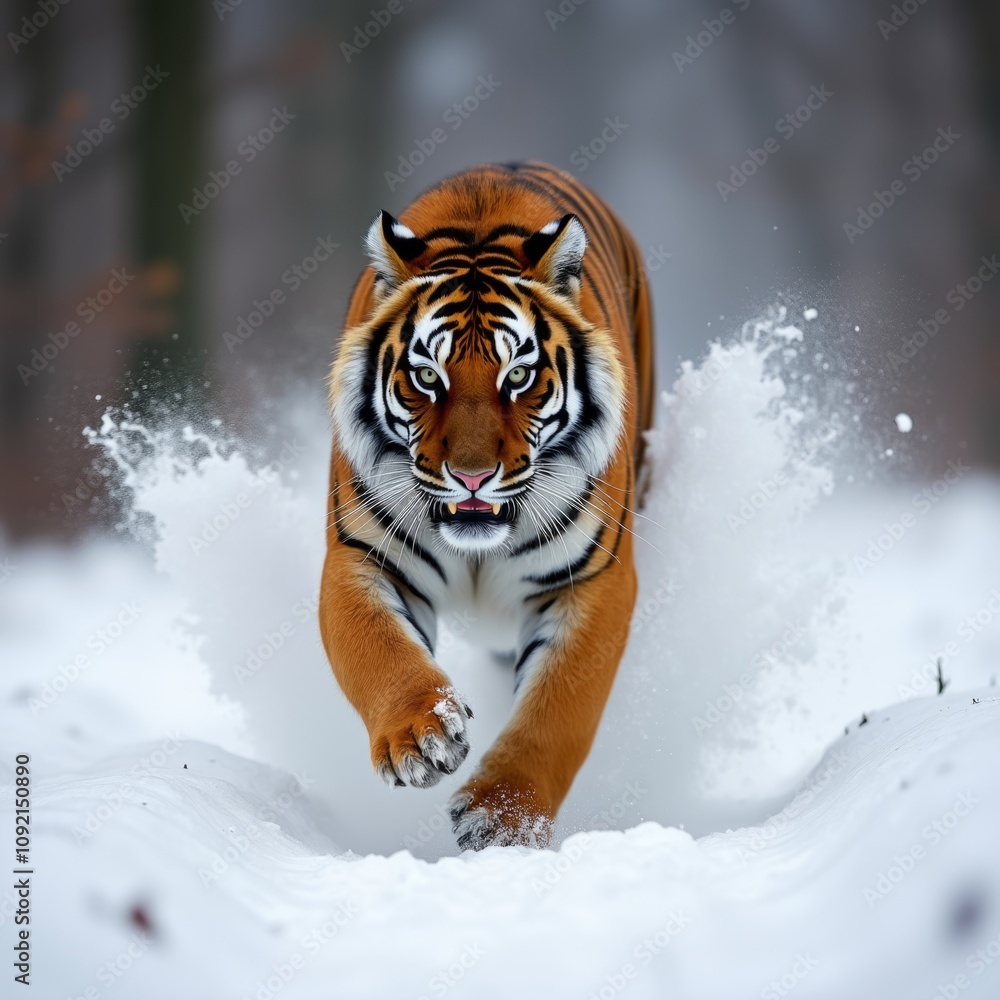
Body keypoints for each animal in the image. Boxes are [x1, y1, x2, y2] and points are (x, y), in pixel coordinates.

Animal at [319, 161, 655, 850]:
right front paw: (422, 736)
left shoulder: (594, 581)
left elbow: (558, 710)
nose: (471, 477)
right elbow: (375, 648)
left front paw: (503, 818)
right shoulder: (361, 554)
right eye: (427, 377)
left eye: (518, 376)